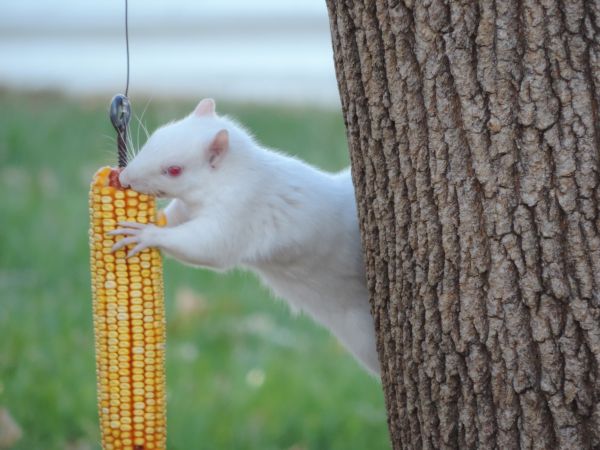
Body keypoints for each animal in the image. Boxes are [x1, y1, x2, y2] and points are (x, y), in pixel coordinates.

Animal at [110, 99, 380, 376]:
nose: (124, 178)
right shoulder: (188, 208)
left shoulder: (239, 212)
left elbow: (208, 246)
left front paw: (146, 234)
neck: (230, 176)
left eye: (174, 170)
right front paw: (153, 221)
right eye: (156, 135)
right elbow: (174, 218)